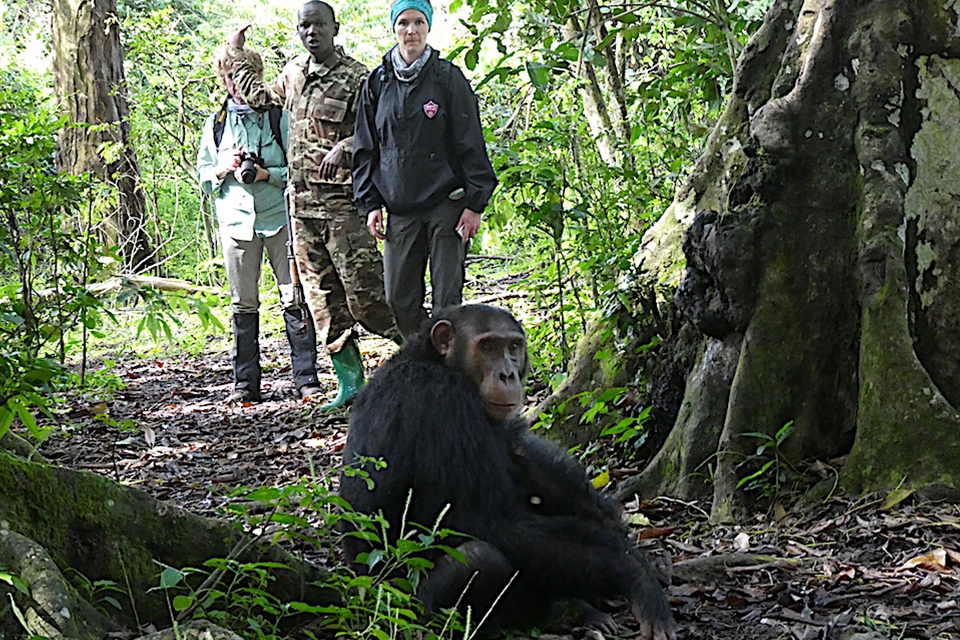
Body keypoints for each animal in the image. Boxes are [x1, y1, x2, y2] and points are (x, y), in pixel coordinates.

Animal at [338, 304, 676, 640]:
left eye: (513, 347)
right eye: (487, 347)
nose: (507, 374)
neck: (438, 362)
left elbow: (520, 455)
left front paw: (623, 541)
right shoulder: (442, 401)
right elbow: (490, 524)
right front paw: (633, 574)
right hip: (404, 613)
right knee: (480, 558)